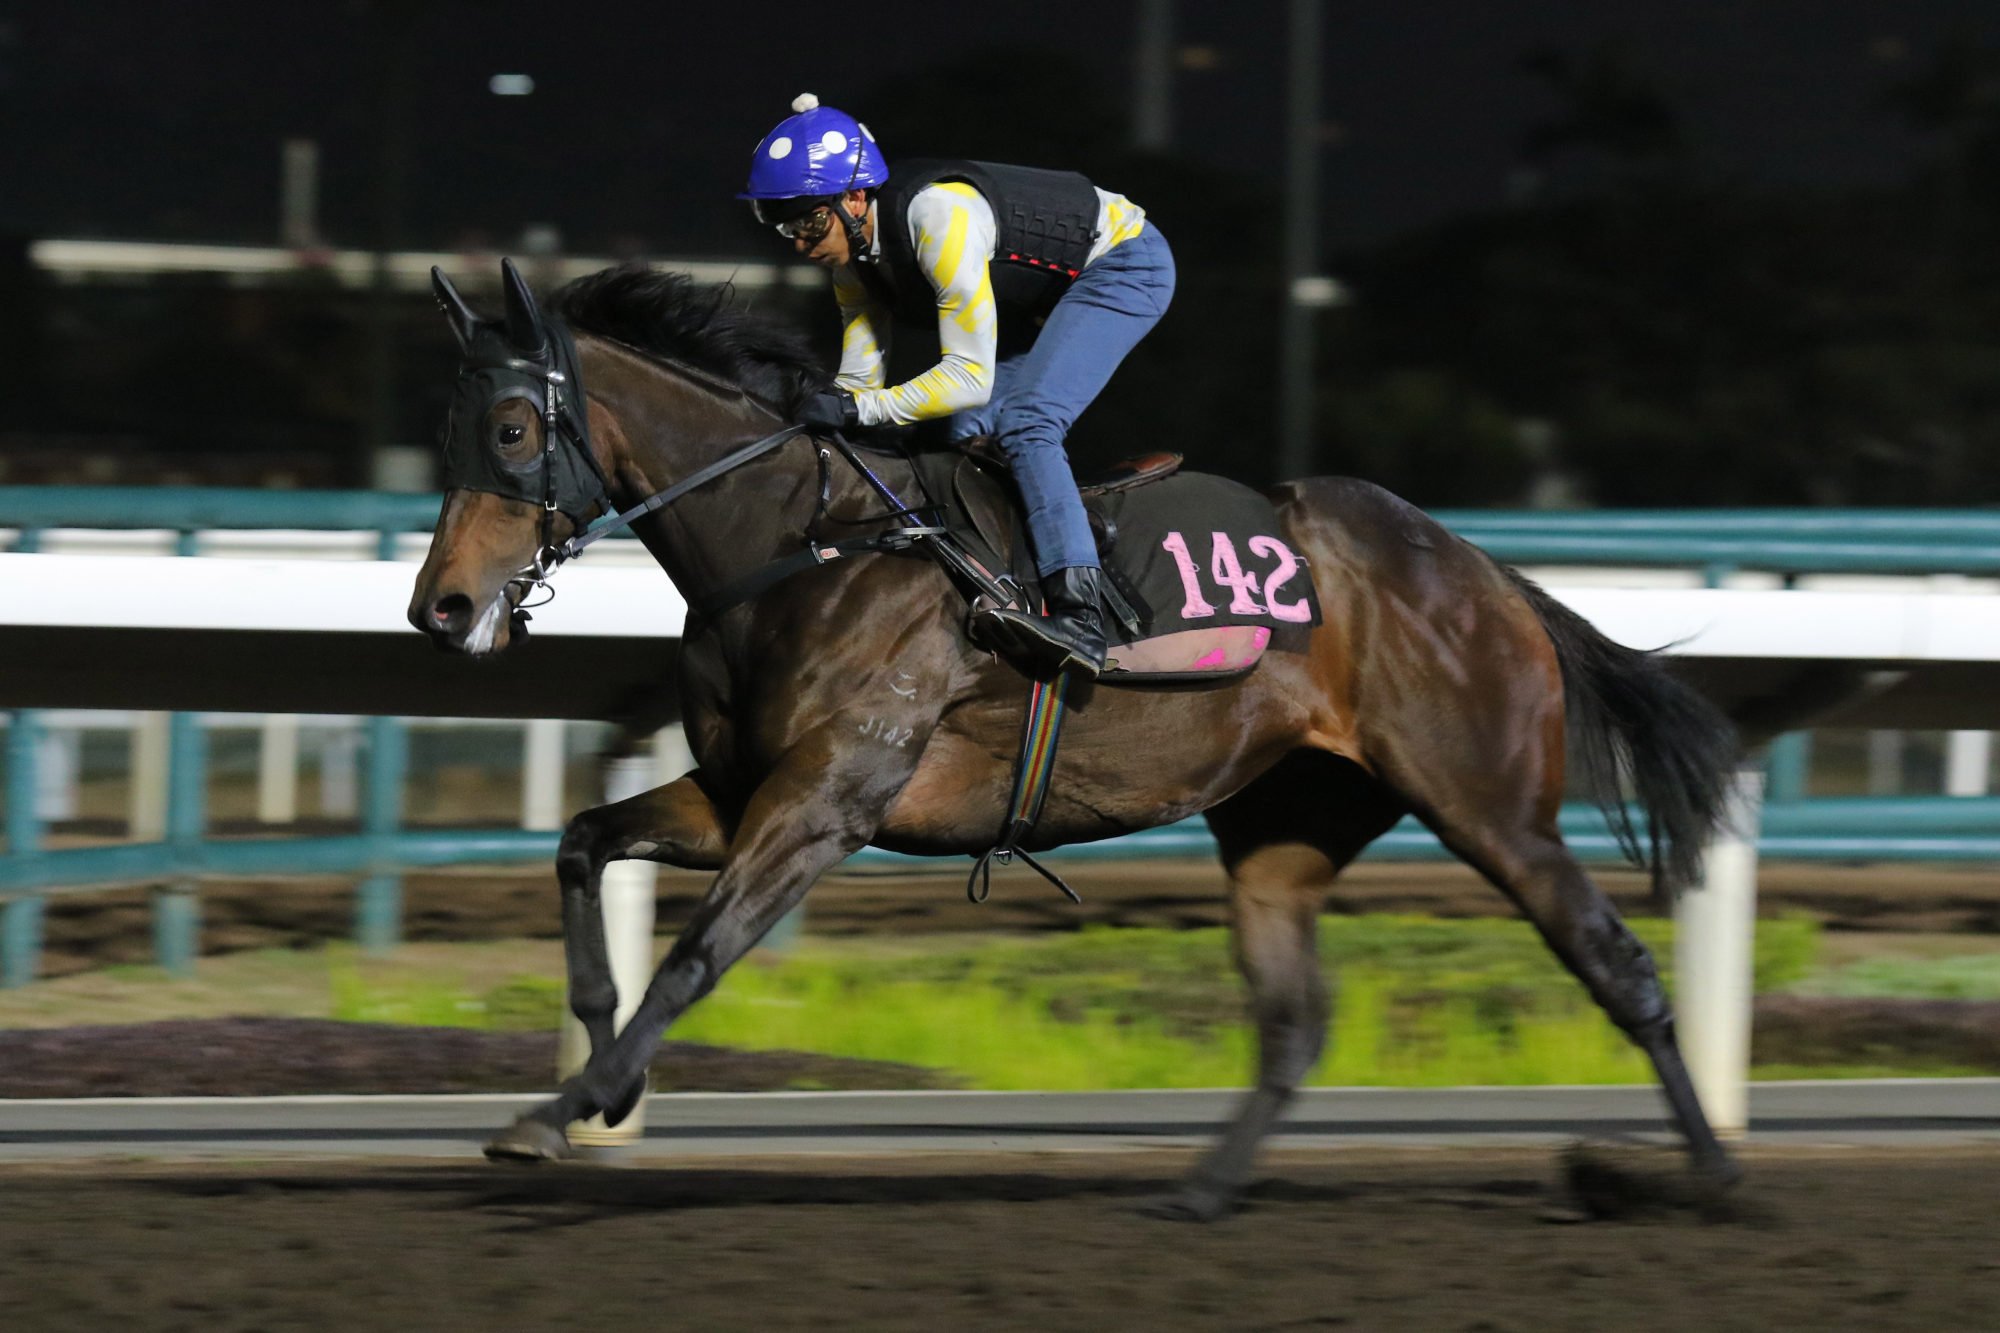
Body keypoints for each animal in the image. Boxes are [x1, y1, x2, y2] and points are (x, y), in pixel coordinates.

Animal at [402, 260, 1736, 1216]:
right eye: (452, 429)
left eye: (513, 430)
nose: (441, 608)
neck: (804, 542)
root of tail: (1483, 573)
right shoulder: (739, 789)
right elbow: (582, 842)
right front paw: (586, 1071)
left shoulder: (826, 798)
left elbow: (695, 956)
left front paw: (573, 1102)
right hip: (1283, 823)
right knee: (1291, 1019)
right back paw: (1197, 1192)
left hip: (1487, 802)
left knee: (1617, 965)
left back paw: (1711, 1178)